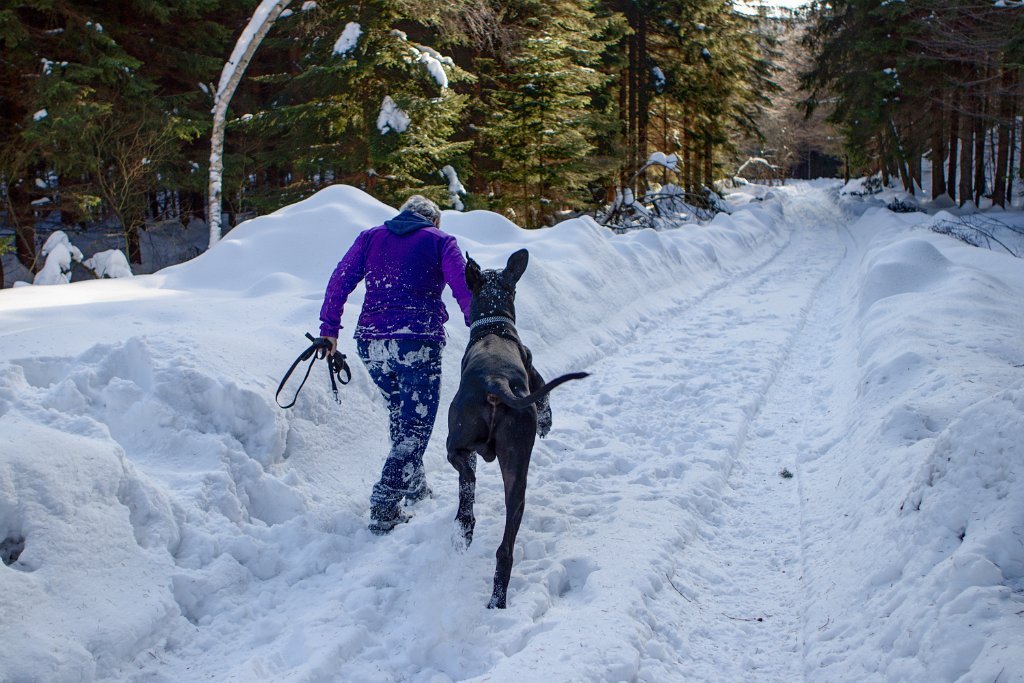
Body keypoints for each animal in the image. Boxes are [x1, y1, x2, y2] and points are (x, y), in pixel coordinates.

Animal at [444, 249, 589, 610]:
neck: (494, 324)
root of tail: (494, 382)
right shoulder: (535, 377)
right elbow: (546, 399)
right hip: (515, 459)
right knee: (504, 545)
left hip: (462, 435)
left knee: (463, 472)